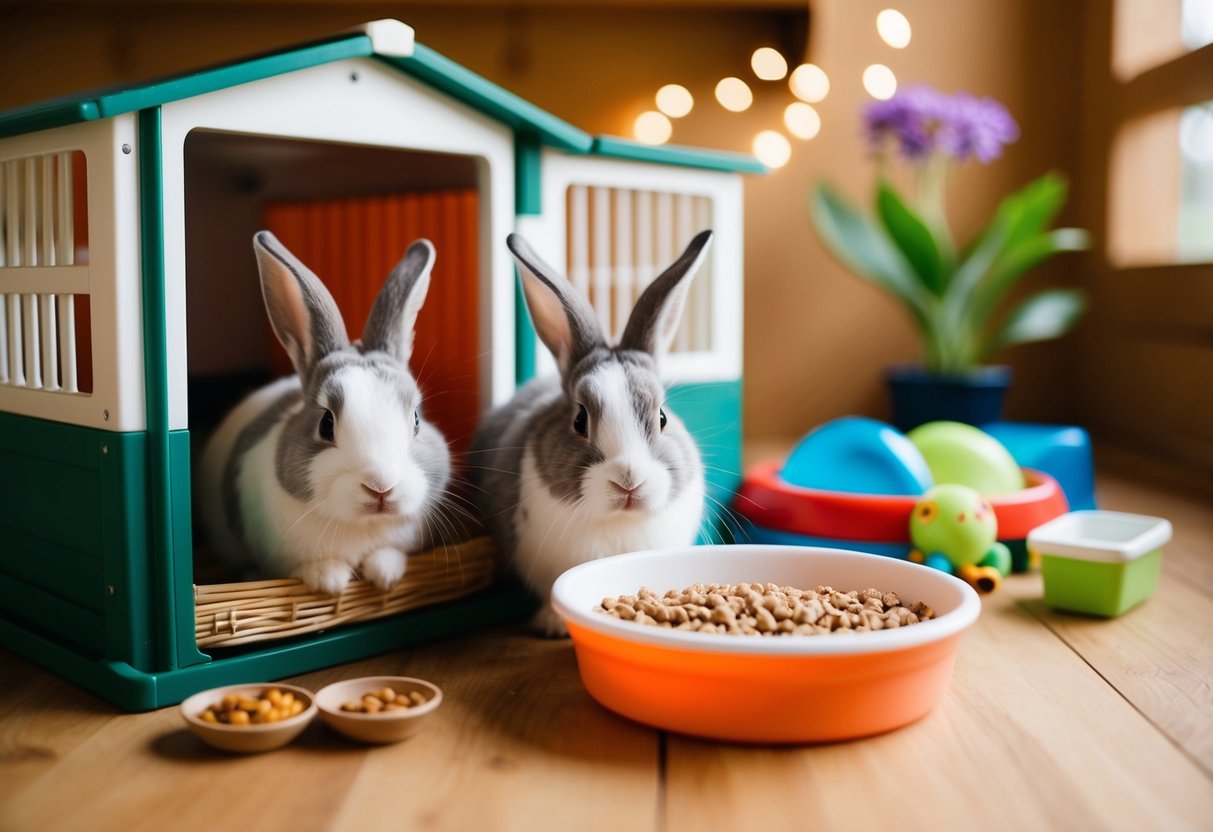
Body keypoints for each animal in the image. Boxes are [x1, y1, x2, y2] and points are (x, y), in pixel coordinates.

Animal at [196, 230, 452, 595]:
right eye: (326, 423)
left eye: (416, 419)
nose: (381, 487)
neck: (362, 527)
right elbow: (306, 569)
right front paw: (330, 580)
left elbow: (389, 554)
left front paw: (384, 574)